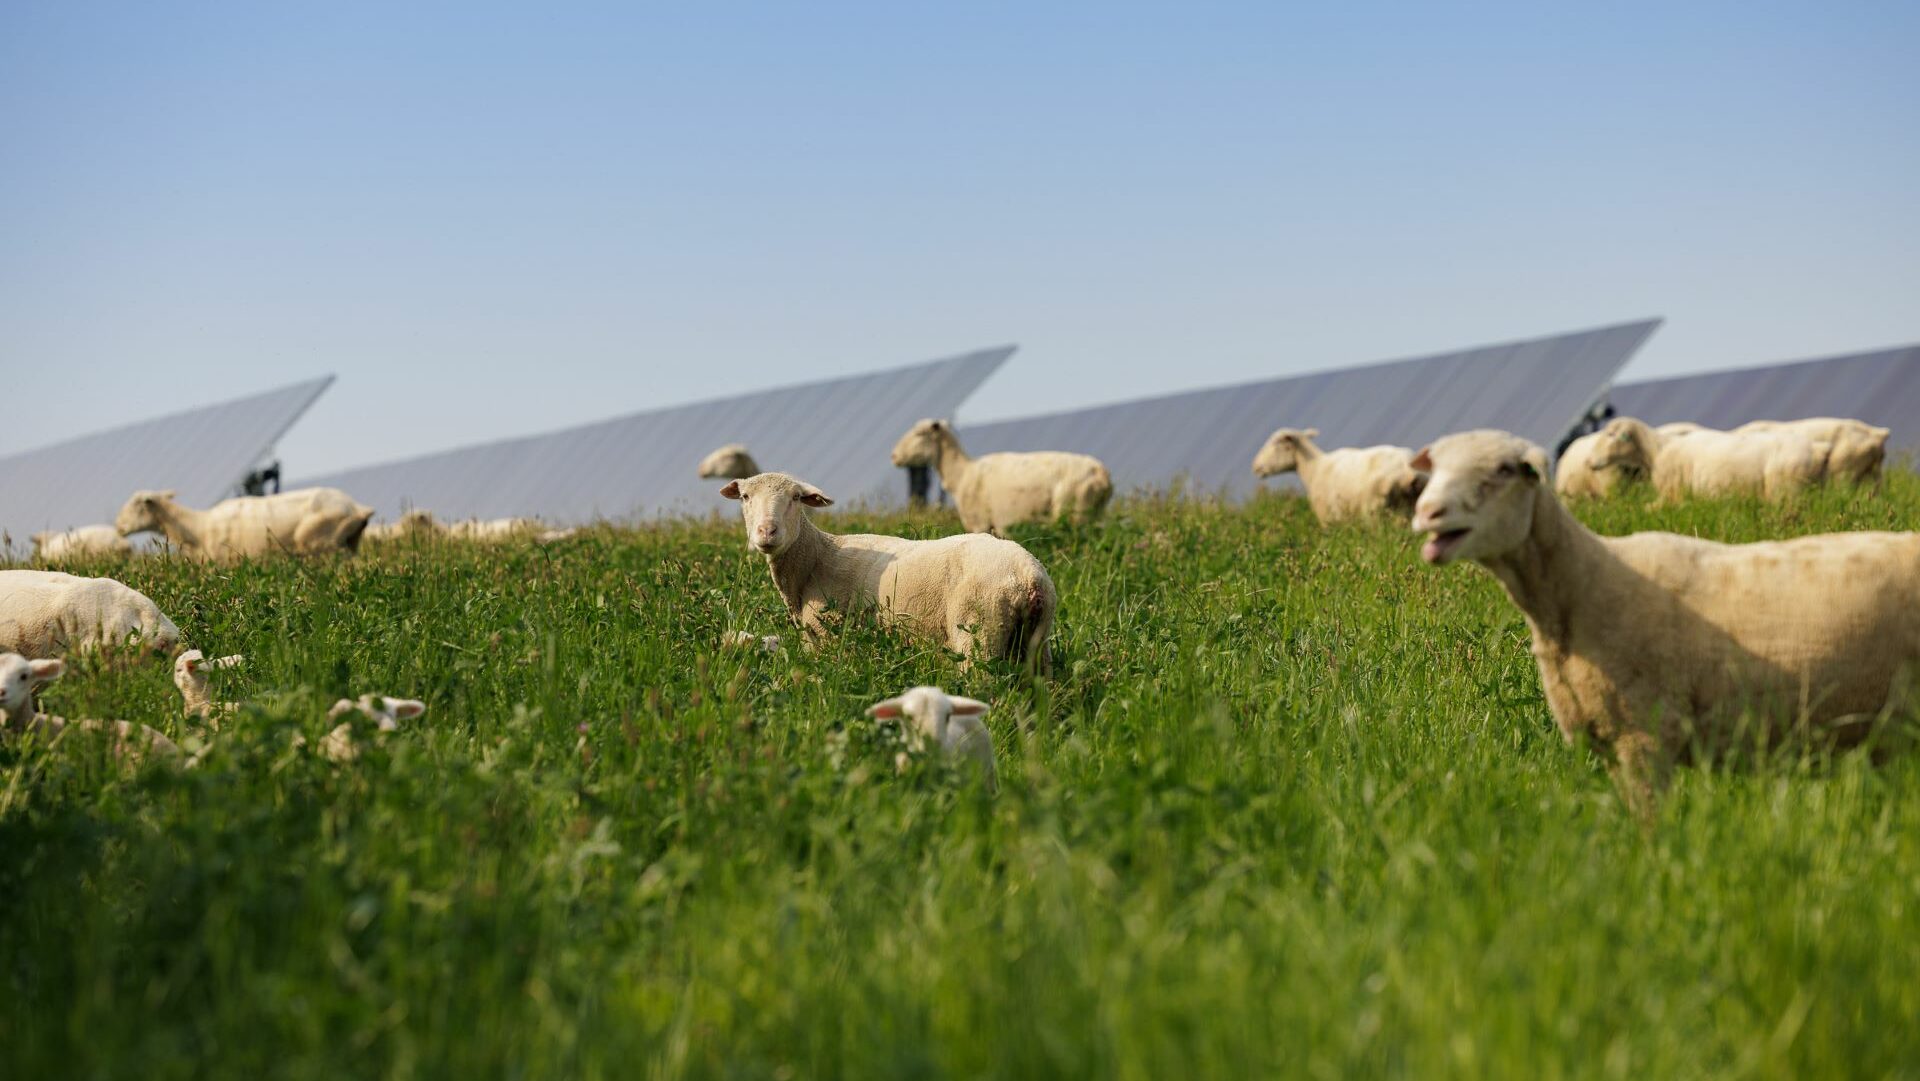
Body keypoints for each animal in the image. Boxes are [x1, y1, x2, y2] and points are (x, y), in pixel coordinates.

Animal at [115, 487, 374, 559]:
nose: (118, 527)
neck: (198, 528)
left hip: (321, 545)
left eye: (137, 504)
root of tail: (356, 507)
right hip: (350, 543)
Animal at [721, 473, 1056, 670]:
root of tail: (1028, 576)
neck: (816, 558)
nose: (767, 531)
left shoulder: (826, 635)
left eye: (794, 498)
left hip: (979, 633)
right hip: (1036, 644)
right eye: (746, 497)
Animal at [889, 419, 1112, 535]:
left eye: (919, 434)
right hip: (1095, 512)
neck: (961, 475)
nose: (894, 456)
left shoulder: (980, 523)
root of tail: (1101, 473)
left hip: (1074, 509)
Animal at [1251, 428, 1420, 523]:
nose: (1255, 466)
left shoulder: (1328, 516)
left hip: (1375, 510)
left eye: (1276, 444)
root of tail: (1406, 468)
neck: (1314, 468)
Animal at [1410, 428, 1920, 818]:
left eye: (1502, 471)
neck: (1582, 584)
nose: (1427, 512)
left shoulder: (1646, 733)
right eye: (1435, 470)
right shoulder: (1612, 739)